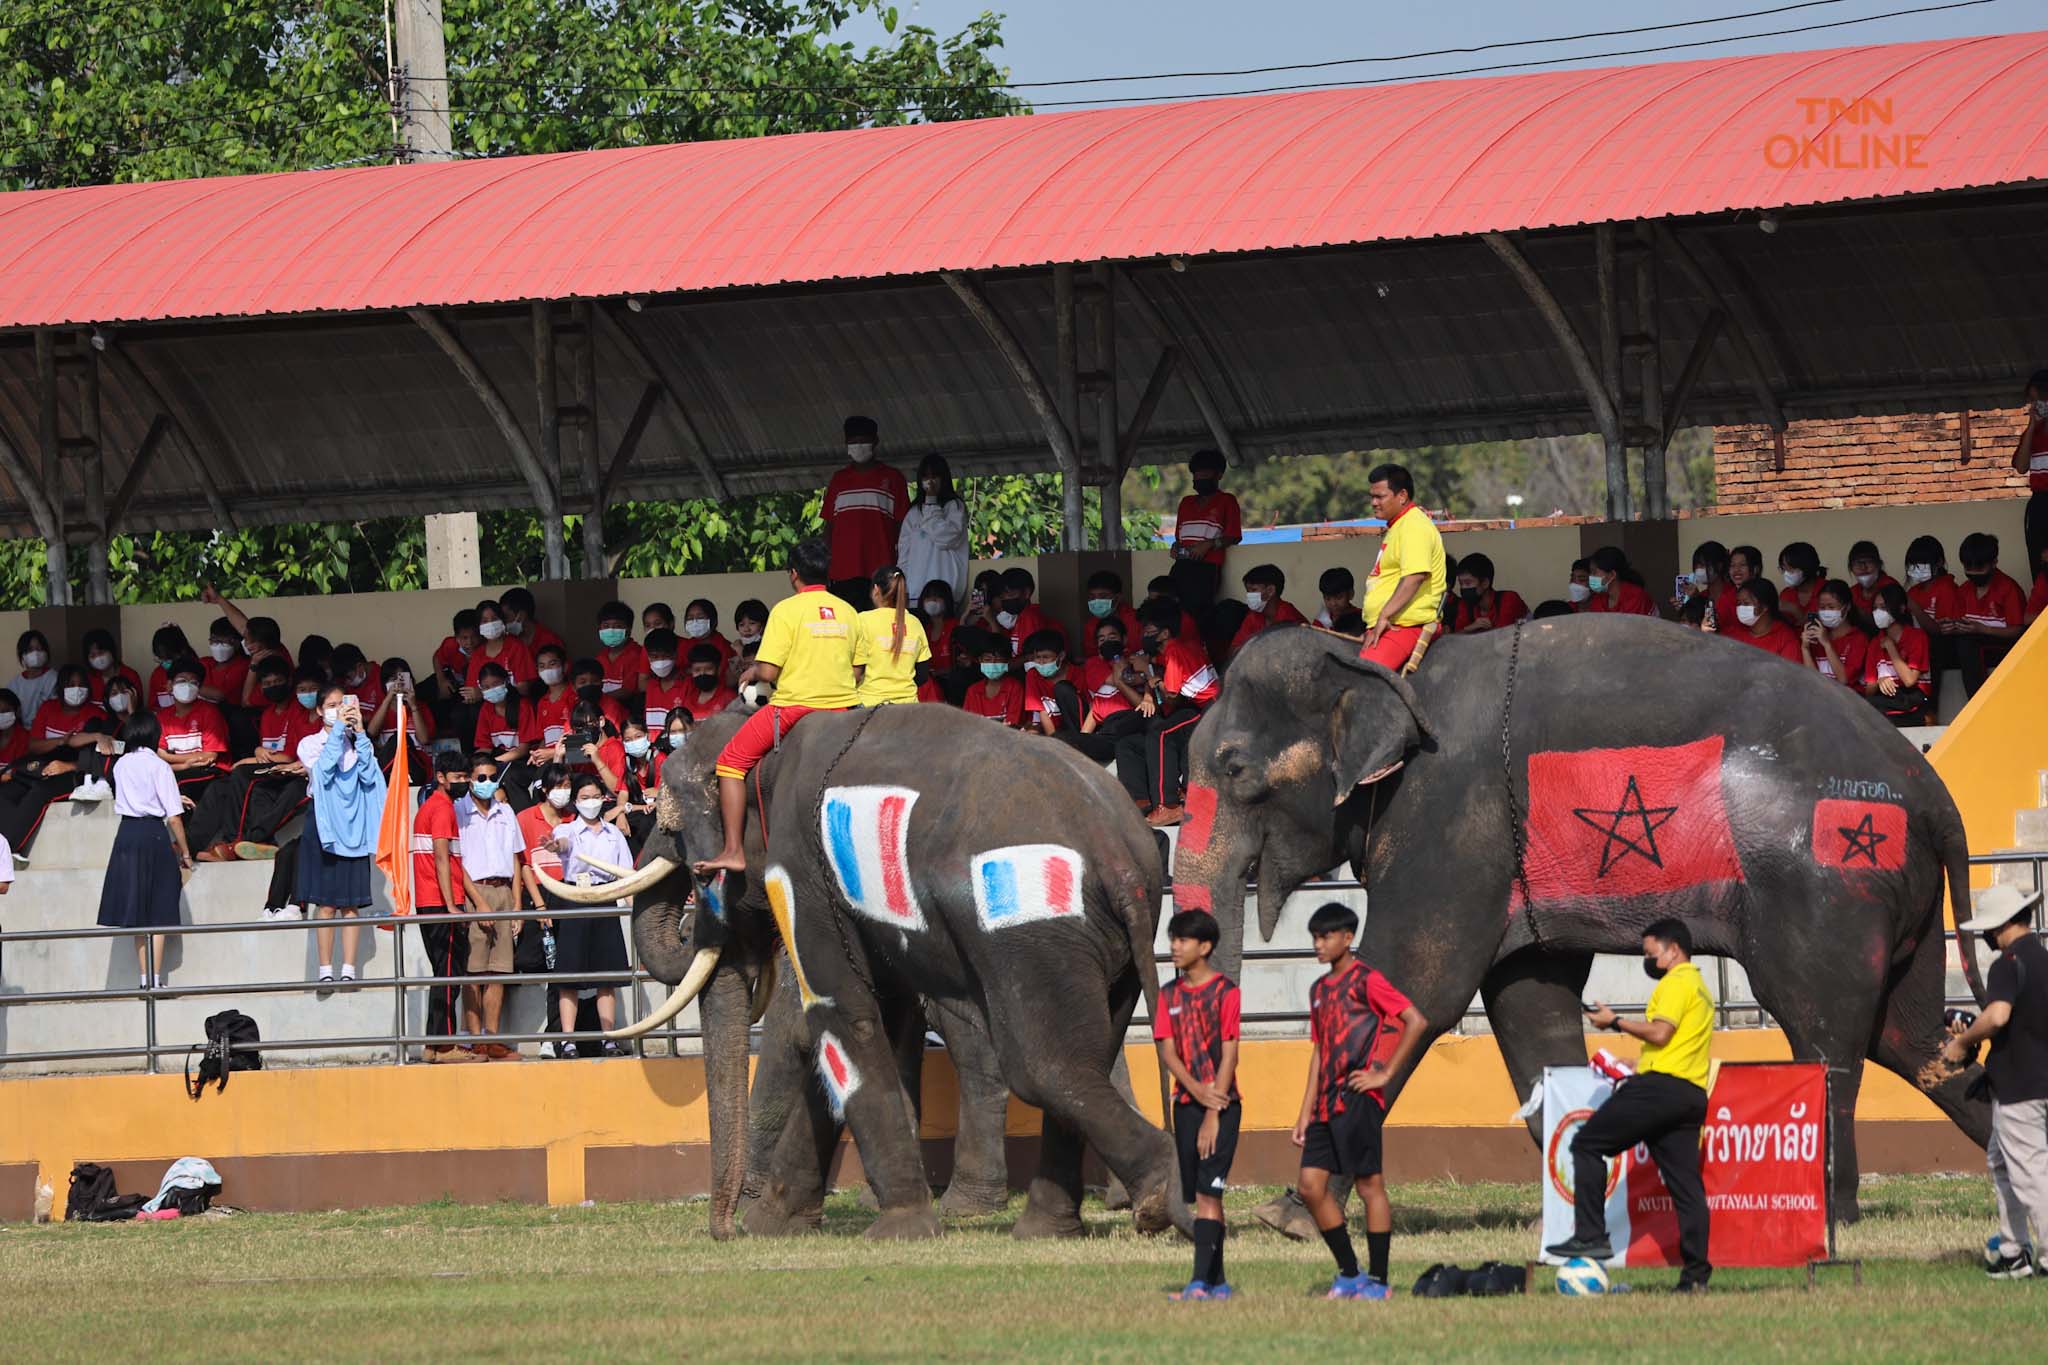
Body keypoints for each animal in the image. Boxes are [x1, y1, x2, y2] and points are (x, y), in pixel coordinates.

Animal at [548, 699, 1187, 1244]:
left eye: (675, 829)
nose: (723, 1230)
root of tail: (1122, 855)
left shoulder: (802, 871)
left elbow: (839, 1011)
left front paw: (897, 1230)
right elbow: (853, 1019)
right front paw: (773, 1226)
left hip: (1030, 929)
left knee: (1044, 1065)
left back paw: (1159, 1195)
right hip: (1105, 940)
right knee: (1094, 1049)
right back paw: (1049, 1229)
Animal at [1179, 618, 1990, 1219]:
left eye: (1234, 766)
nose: (1202, 1203)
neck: (1372, 658)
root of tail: (1937, 797)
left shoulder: (1450, 818)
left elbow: (1417, 984)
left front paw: (1291, 1214)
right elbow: (1527, 1006)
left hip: (1827, 879)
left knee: (1823, 1027)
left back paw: (1824, 1207)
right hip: (1890, 894)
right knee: (1911, 1036)